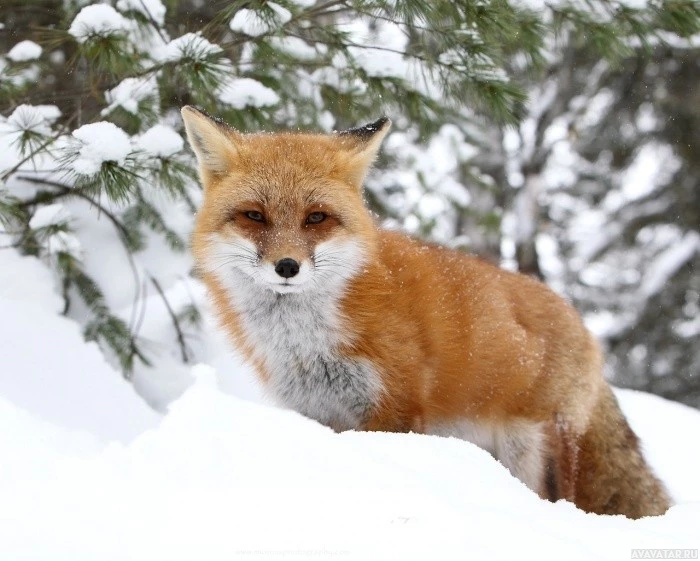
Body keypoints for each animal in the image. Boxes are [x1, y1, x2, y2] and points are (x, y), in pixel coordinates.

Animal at [182, 106, 672, 520]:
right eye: (254, 216)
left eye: (316, 218)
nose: (287, 266)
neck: (307, 343)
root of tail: (583, 326)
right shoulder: (319, 415)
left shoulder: (394, 409)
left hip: (534, 452)